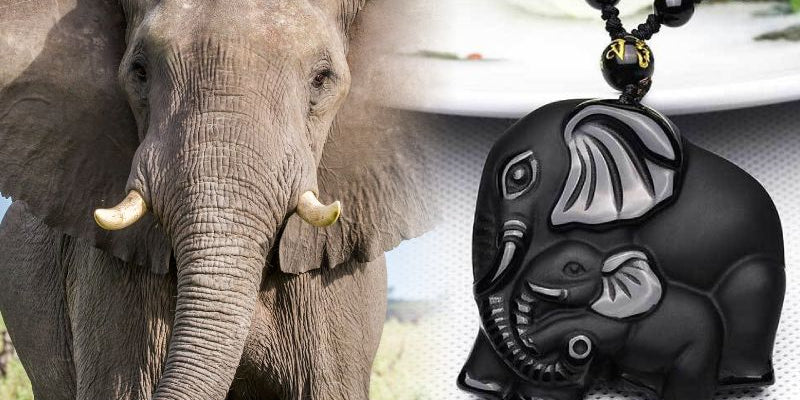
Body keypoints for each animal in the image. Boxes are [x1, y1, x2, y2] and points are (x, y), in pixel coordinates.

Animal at [458, 99, 785, 400]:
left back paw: (740, 380)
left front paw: (538, 395)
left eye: (519, 176)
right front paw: (482, 387)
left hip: (758, 280)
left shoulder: (611, 229)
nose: (577, 347)